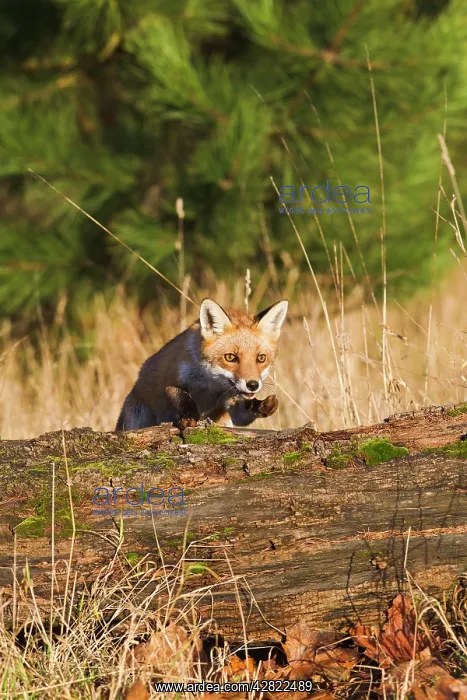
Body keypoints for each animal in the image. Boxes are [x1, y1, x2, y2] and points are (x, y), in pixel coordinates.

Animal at [115, 297, 288, 431]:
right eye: (230, 357)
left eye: (261, 358)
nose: (253, 385)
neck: (211, 384)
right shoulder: (172, 381)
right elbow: (185, 400)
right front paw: (190, 417)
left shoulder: (232, 406)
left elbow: (244, 413)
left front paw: (261, 405)